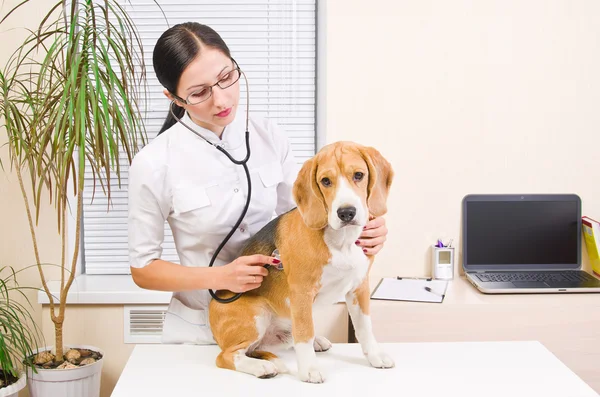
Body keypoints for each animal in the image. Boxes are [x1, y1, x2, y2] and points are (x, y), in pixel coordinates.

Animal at [209, 141, 396, 382]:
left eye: (359, 175)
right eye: (325, 181)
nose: (346, 212)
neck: (341, 240)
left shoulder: (359, 287)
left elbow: (365, 328)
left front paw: (375, 356)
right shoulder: (301, 292)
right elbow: (304, 334)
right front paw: (309, 369)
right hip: (257, 313)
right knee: (226, 356)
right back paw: (261, 367)